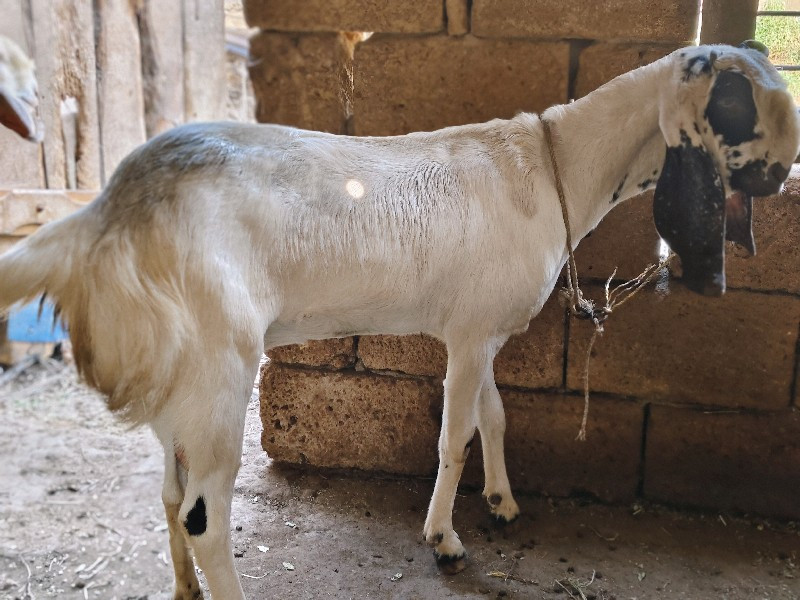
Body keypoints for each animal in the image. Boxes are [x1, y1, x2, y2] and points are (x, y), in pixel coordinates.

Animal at [0, 44, 796, 596]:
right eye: (736, 103)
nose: (781, 174)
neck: (556, 168)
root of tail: (106, 215)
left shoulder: (482, 327)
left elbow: (493, 416)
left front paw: (503, 503)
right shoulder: (470, 335)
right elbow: (454, 436)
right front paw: (444, 539)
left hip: (180, 376)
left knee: (170, 494)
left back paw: (184, 590)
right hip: (220, 364)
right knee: (202, 513)